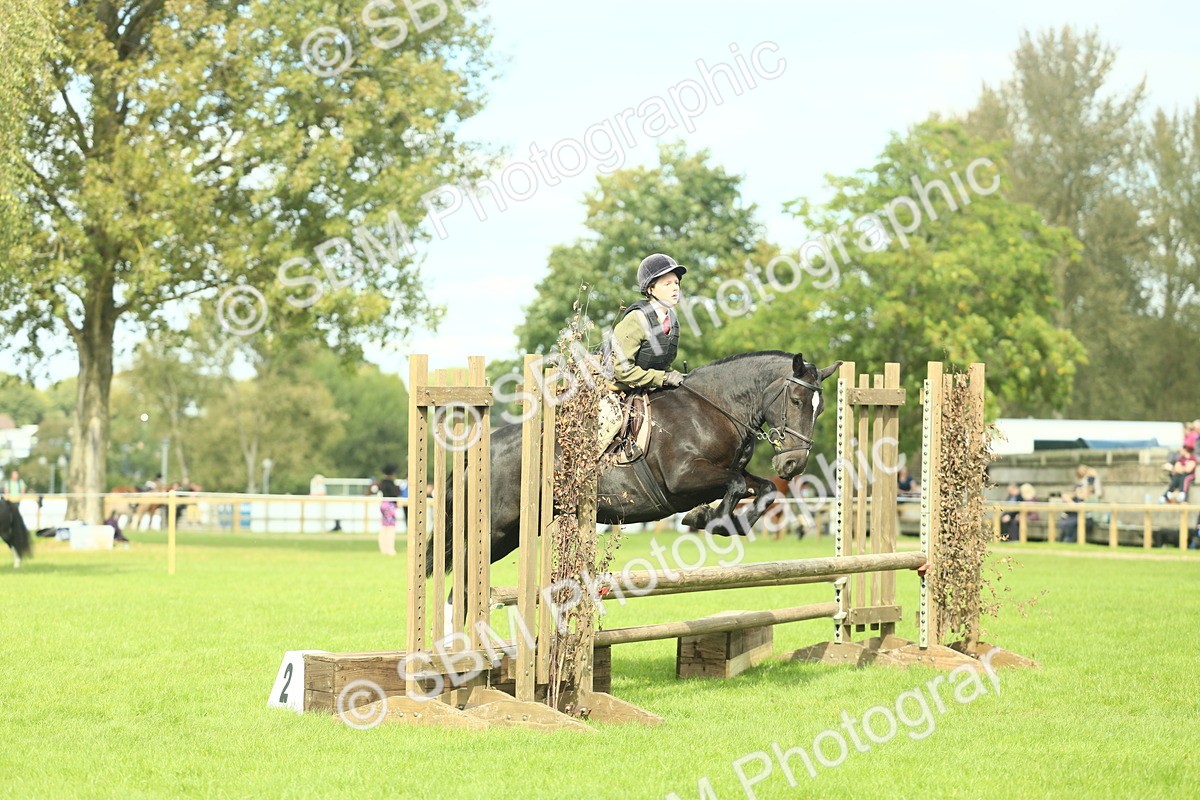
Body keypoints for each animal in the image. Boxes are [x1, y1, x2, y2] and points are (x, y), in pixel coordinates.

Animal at [428, 350, 841, 574]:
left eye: (820, 409)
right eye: (798, 402)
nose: (793, 465)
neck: (713, 409)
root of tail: (476, 454)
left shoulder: (727, 473)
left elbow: (764, 489)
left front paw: (720, 521)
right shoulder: (683, 479)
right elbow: (736, 486)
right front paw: (710, 519)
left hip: (515, 532)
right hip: (495, 530)